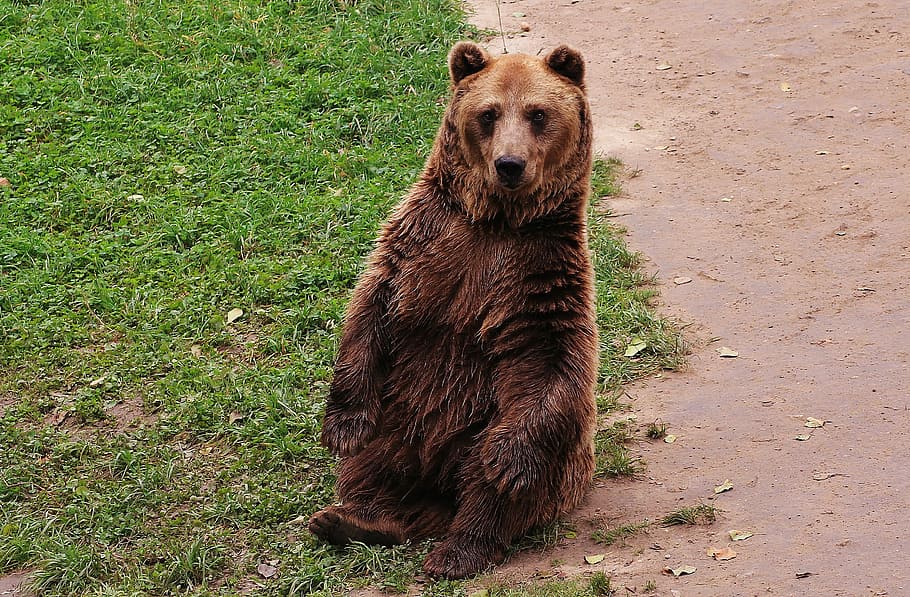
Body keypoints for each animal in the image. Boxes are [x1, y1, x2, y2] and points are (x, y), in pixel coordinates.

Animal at [308, 41, 599, 580]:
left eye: (538, 113)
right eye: (488, 113)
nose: (510, 164)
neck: (496, 221)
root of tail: (438, 488)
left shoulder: (542, 277)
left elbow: (555, 362)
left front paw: (508, 460)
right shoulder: (422, 243)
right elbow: (370, 309)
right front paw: (341, 426)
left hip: (487, 427)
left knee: (490, 486)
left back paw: (458, 550)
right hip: (398, 413)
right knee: (372, 465)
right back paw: (353, 519)